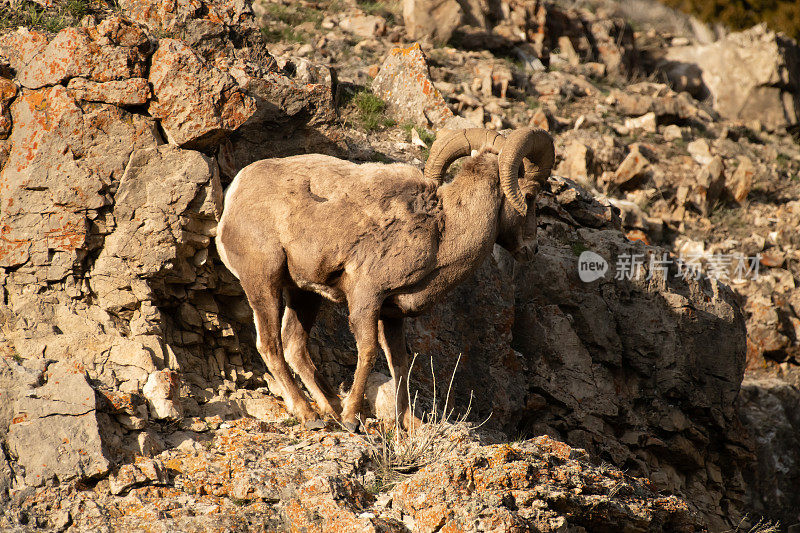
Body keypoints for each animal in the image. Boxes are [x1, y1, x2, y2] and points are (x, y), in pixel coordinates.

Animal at [216, 127, 552, 430]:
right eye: (530, 196)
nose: (531, 249)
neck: (442, 232)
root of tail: (233, 197)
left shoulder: (391, 313)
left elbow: (399, 364)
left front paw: (409, 423)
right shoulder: (366, 297)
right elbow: (368, 352)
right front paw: (352, 417)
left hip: (304, 295)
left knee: (294, 347)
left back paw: (330, 409)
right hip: (264, 283)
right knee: (270, 345)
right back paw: (310, 415)